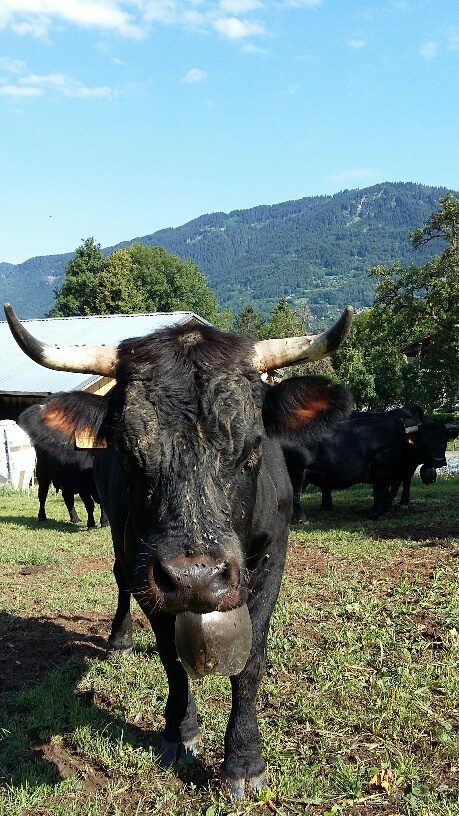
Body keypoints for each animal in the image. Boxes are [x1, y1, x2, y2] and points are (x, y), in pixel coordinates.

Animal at [4, 302, 352, 796]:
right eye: (129, 455)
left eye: (252, 450)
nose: (195, 578)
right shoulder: (146, 568)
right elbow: (171, 656)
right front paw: (180, 731)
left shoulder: (271, 562)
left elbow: (251, 661)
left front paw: (243, 760)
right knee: (120, 582)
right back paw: (120, 639)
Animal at [284, 404, 456, 520]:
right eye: (424, 441)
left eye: (443, 441)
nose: (438, 461)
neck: (399, 438)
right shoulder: (383, 471)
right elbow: (380, 492)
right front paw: (380, 514)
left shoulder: (396, 472)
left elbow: (388, 491)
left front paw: (384, 509)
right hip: (298, 474)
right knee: (295, 496)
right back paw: (302, 519)